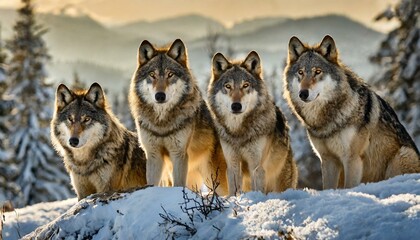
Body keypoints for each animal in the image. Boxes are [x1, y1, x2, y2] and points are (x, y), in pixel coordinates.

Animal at [129, 38, 228, 195]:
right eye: (152, 75)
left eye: (170, 75)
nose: (160, 96)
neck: (162, 123)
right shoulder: (153, 155)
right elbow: (152, 183)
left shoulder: (179, 154)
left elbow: (178, 184)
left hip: (214, 178)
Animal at [208, 51, 296, 195]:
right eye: (228, 86)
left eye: (245, 85)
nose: (236, 106)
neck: (238, 132)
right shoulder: (232, 164)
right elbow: (233, 190)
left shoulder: (256, 166)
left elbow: (258, 189)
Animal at [282, 35, 420, 189]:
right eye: (300, 72)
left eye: (317, 72)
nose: (303, 94)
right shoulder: (328, 160)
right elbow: (328, 187)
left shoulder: (352, 159)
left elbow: (349, 187)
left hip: (402, 155)